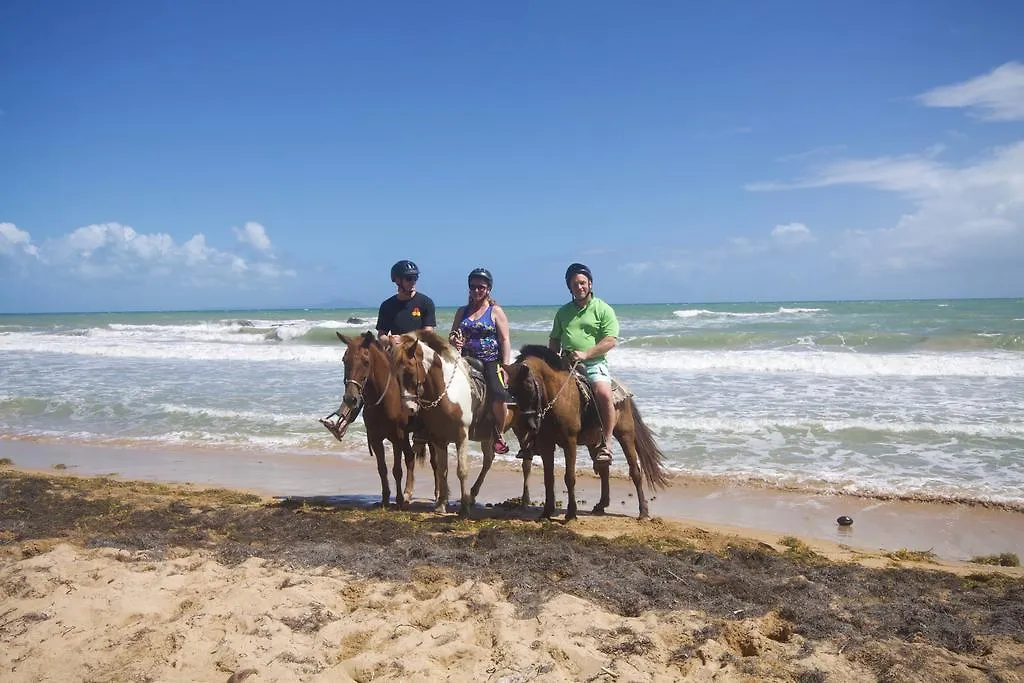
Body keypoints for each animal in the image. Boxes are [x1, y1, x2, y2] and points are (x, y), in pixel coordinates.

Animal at [321, 333, 430, 509]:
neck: (384, 400)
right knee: (410, 458)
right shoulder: (375, 438)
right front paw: (385, 499)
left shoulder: (397, 437)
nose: (350, 399)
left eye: (366, 362)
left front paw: (398, 500)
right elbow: (382, 468)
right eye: (344, 360)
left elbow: (397, 470)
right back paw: (408, 492)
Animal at [505, 344, 671, 520]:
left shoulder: (569, 442)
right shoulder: (546, 443)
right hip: (594, 440)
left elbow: (569, 477)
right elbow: (548, 477)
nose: (528, 425)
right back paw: (601, 505)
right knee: (604, 469)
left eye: (529, 386)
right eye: (511, 391)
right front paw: (547, 512)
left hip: (625, 434)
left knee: (635, 471)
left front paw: (571, 514)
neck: (558, 397)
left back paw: (643, 512)